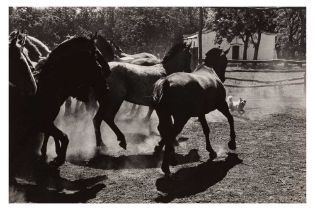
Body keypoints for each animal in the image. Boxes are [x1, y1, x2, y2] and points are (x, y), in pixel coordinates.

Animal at [152, 47, 236, 176]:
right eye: (225, 61)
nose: (223, 78)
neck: (209, 70)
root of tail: (167, 82)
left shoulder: (201, 113)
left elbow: (206, 129)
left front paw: (211, 151)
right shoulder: (222, 104)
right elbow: (230, 119)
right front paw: (232, 142)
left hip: (165, 115)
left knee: (165, 132)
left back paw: (169, 156)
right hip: (181, 118)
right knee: (171, 134)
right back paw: (166, 165)